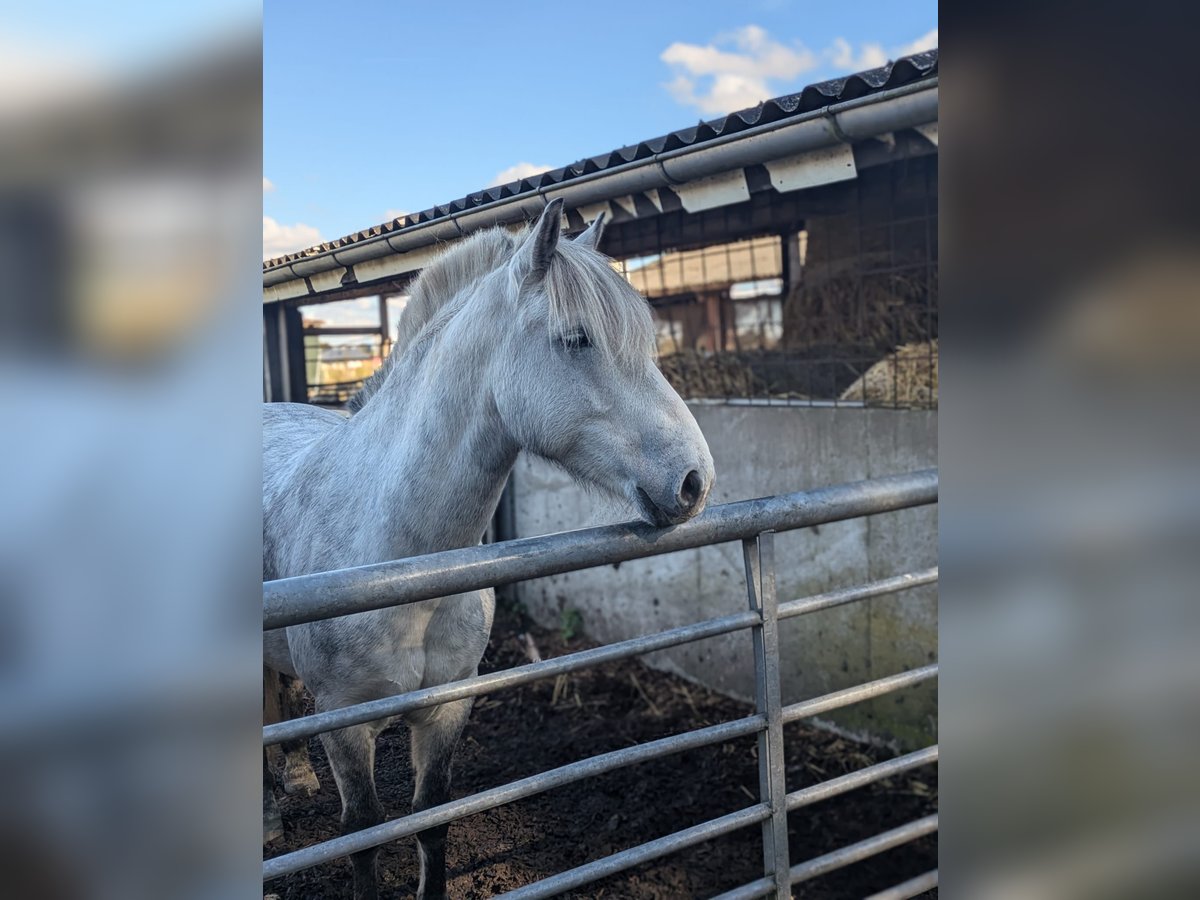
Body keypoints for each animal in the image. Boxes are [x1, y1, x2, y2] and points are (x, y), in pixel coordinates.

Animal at [262, 198, 715, 900]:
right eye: (576, 338)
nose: (695, 479)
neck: (397, 566)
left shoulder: (449, 705)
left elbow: (431, 820)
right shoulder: (342, 721)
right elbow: (363, 835)